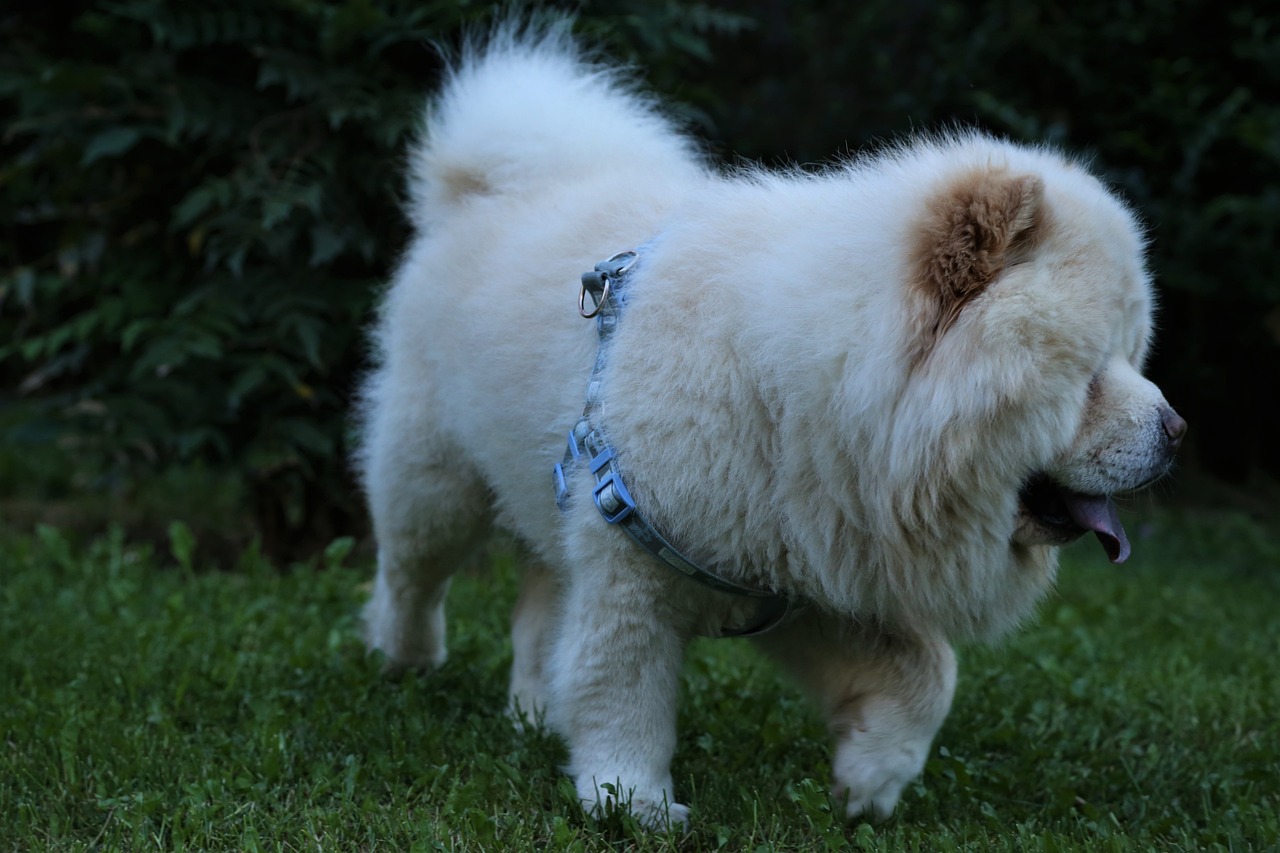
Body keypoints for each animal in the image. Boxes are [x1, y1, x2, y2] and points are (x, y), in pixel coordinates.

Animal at [355, 24, 1182, 824]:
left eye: (1135, 352)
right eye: (1090, 373)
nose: (1177, 429)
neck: (794, 394)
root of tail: (478, 189)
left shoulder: (800, 578)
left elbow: (929, 673)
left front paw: (869, 780)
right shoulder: (634, 565)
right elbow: (621, 690)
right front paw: (630, 800)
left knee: (538, 606)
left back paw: (530, 712)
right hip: (437, 480)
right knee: (410, 571)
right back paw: (403, 659)